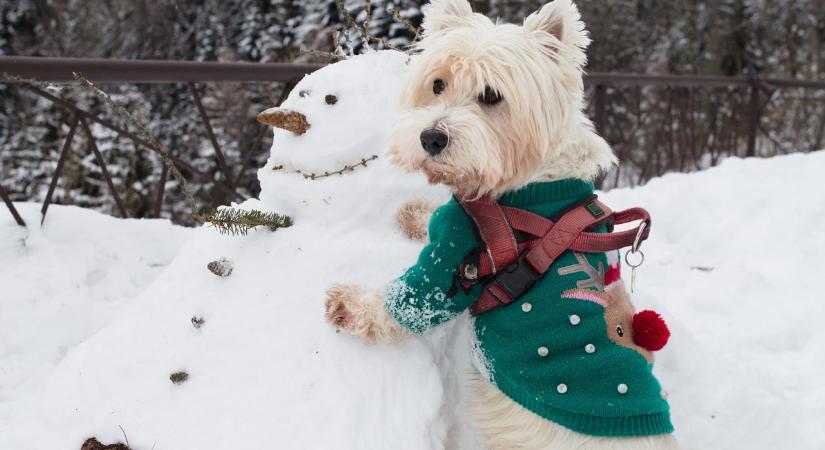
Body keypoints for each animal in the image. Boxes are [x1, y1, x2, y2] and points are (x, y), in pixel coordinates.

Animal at [326, 1, 680, 448]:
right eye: (437, 84)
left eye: (491, 95)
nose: (431, 139)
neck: (531, 183)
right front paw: (415, 212)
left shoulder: (450, 259)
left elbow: (406, 303)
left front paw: (348, 304)